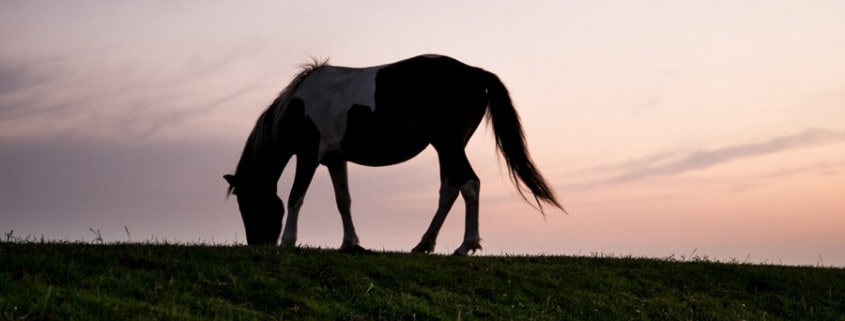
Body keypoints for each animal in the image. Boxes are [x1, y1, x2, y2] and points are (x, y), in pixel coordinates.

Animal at [226, 53, 560, 254]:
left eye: (248, 204)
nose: (258, 244)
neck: (298, 106)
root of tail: (475, 73)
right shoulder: (335, 159)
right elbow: (343, 200)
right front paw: (350, 244)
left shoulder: (309, 155)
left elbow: (296, 196)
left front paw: (288, 242)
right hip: (446, 147)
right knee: (450, 189)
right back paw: (424, 244)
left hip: (449, 144)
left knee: (469, 184)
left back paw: (466, 246)